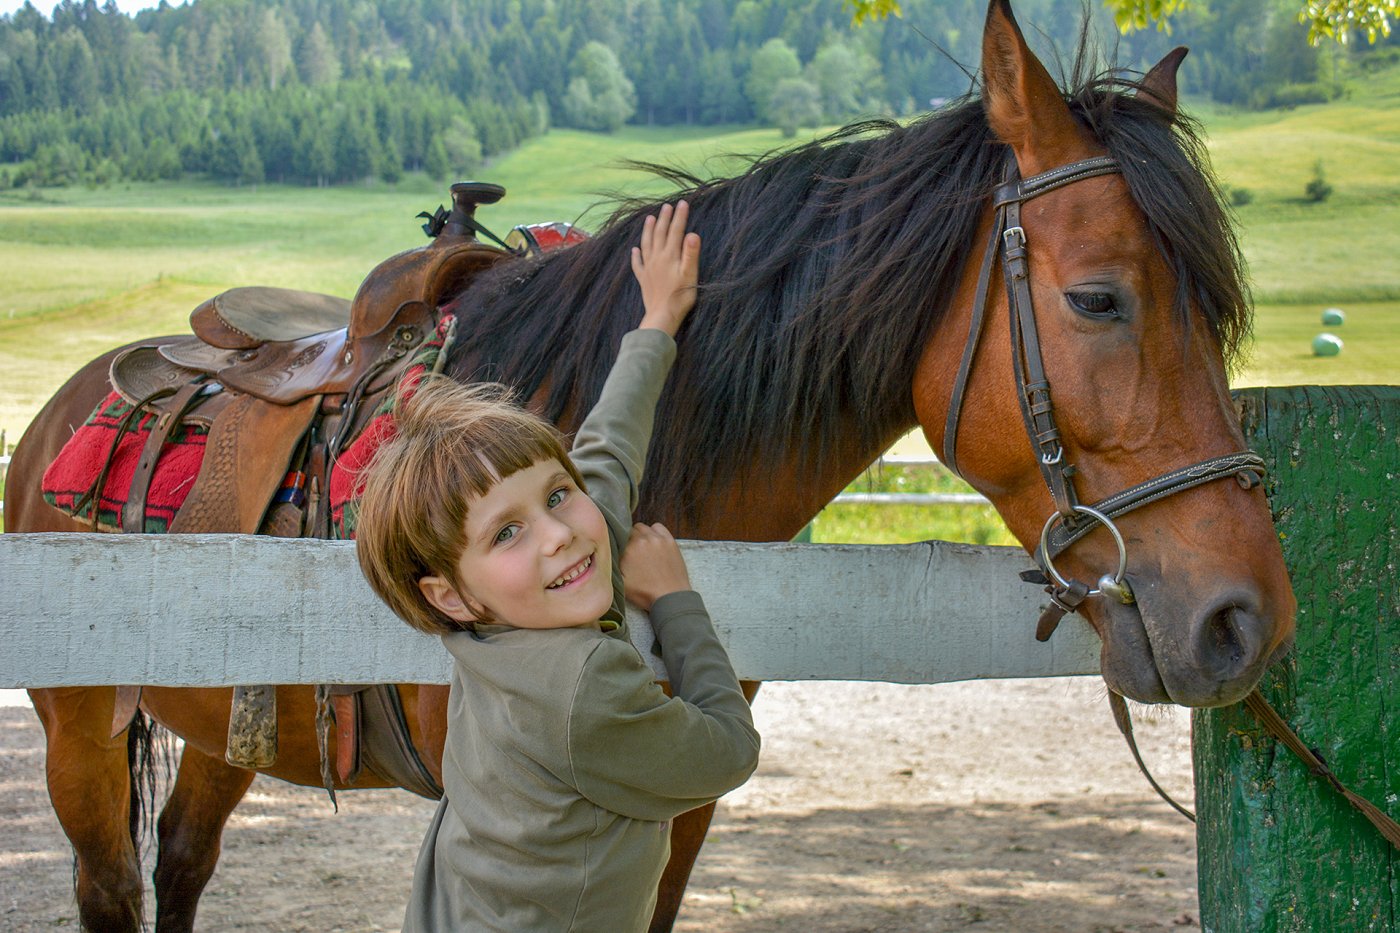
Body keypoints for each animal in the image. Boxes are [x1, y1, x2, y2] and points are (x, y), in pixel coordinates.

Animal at [8, 3, 1299, 924]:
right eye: (1097, 299)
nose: (1243, 621)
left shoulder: (676, 806)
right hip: (80, 732)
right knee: (114, 887)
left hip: (221, 721)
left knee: (181, 864)